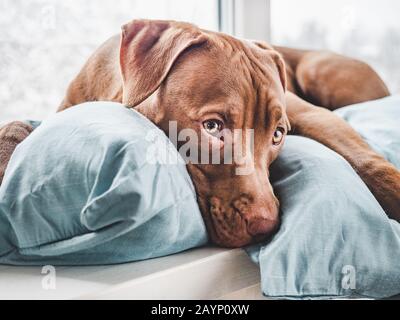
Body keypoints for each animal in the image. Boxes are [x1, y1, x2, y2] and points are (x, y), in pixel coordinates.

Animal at [2, 19, 400, 248]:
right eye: (212, 127)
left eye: (278, 135)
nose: (267, 224)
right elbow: (19, 126)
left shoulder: (309, 114)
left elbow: (367, 162)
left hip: (319, 70)